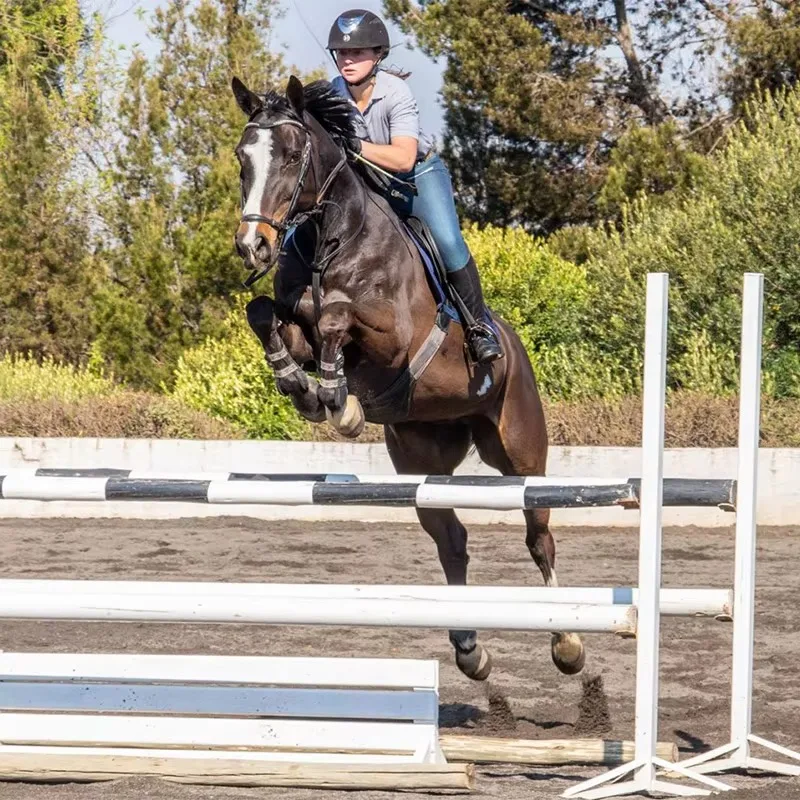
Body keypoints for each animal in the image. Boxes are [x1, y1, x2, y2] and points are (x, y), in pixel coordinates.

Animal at [231, 74, 585, 682]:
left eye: (293, 155)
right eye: (241, 158)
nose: (253, 246)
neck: (331, 239)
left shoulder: (394, 337)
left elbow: (336, 316)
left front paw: (337, 397)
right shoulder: (293, 320)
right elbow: (264, 315)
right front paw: (303, 387)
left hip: (520, 448)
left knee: (539, 534)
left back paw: (567, 644)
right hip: (422, 459)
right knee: (452, 541)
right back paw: (470, 651)